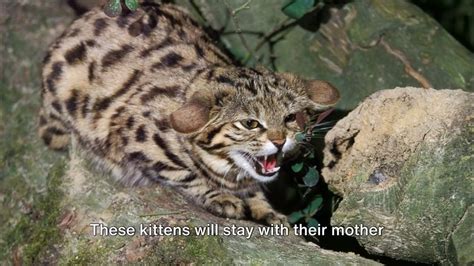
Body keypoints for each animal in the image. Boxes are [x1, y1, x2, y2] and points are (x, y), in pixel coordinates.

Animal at [39, 3, 338, 225]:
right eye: (250, 123)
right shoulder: (132, 133)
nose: (279, 141)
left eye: (290, 118)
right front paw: (221, 197)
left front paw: (266, 209)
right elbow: (182, 173)